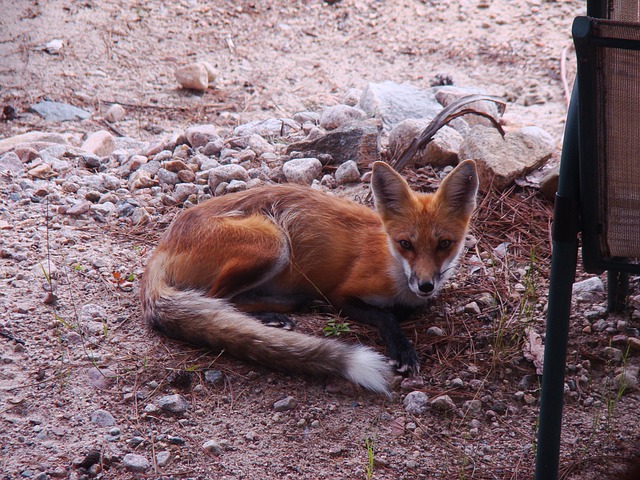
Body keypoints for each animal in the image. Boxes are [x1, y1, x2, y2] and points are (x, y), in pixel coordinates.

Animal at [141, 161, 480, 394]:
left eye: (444, 244)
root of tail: (165, 242)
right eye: (405, 244)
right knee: (218, 298)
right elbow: (387, 316)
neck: (391, 265)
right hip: (273, 242)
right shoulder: (342, 293)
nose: (425, 285)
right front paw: (401, 347)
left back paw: (293, 307)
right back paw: (270, 316)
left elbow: (407, 309)